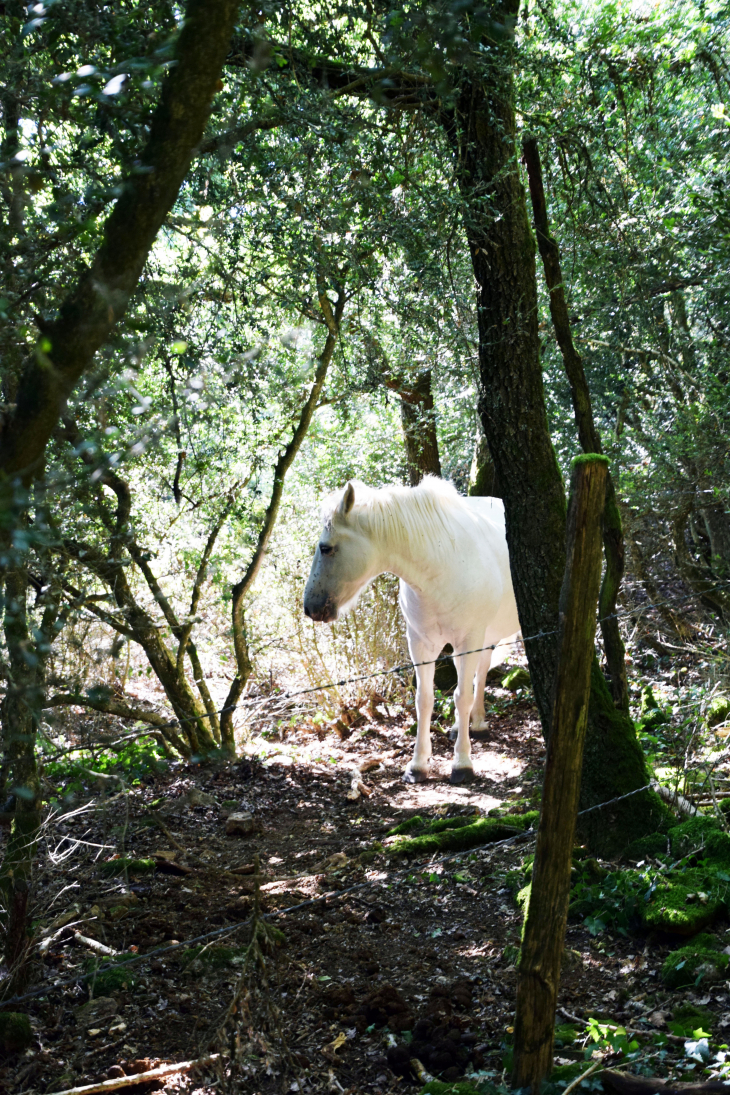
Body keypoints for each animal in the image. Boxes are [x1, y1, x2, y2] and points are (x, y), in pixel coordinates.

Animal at [302, 475, 518, 784]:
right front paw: (418, 765)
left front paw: (462, 764)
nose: (310, 607)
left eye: (325, 548)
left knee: (476, 677)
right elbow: (424, 701)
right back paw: (470, 724)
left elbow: (461, 696)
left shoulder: (469, 640)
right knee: (480, 671)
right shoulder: (420, 644)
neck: (442, 563)